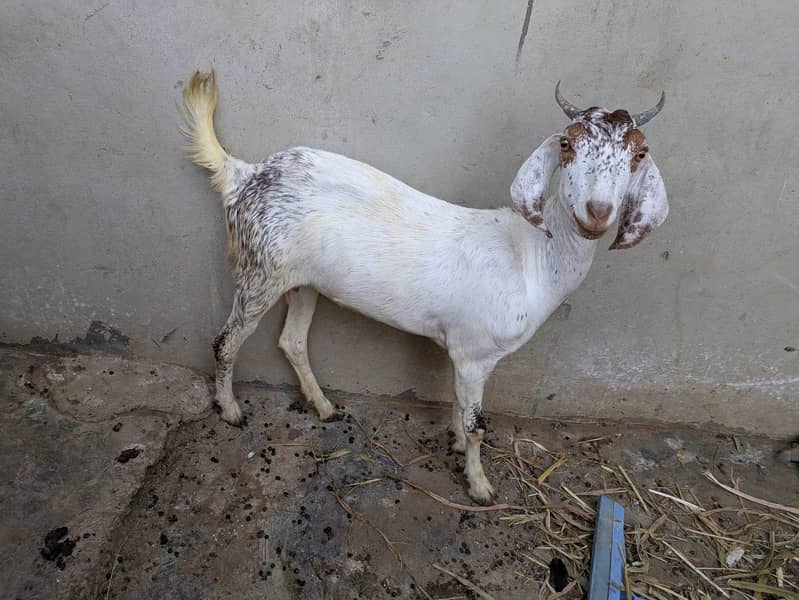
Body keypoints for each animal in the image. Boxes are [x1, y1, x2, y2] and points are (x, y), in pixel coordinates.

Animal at [179, 71, 668, 503]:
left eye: (640, 153)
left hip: (301, 281)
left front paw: (455, 445)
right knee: (225, 341)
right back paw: (230, 410)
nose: (597, 212)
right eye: (566, 143)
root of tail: (245, 174)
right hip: (259, 270)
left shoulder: (464, 354)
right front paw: (480, 486)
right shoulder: (475, 353)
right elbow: (476, 424)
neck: (529, 257)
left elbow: (458, 406)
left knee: (292, 340)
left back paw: (323, 406)